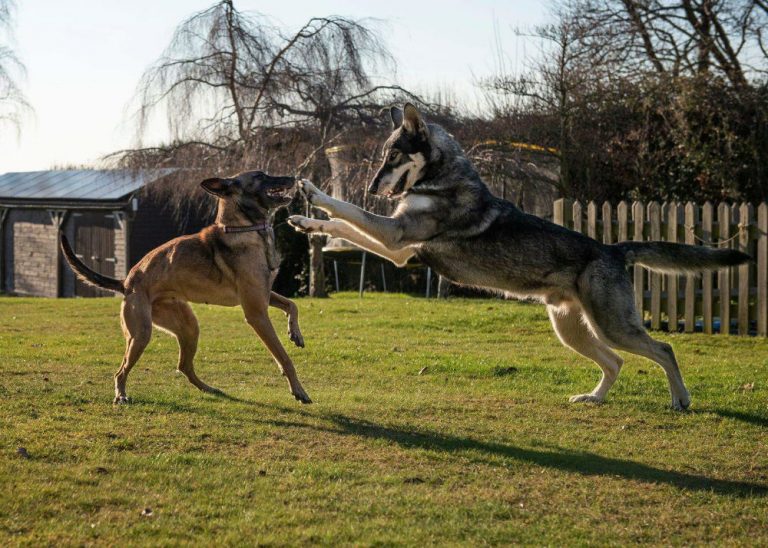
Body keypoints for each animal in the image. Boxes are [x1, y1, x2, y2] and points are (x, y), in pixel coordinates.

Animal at [60, 172, 312, 406]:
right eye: (260, 175)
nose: (293, 177)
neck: (243, 228)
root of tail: (126, 282)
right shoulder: (256, 312)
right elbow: (284, 357)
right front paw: (299, 390)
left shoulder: (263, 295)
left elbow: (292, 304)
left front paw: (295, 334)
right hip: (140, 335)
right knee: (121, 371)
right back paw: (121, 395)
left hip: (189, 326)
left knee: (183, 366)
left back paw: (209, 388)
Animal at [290, 105, 752, 408]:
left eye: (394, 156)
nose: (372, 187)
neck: (442, 179)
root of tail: (614, 248)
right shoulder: (397, 249)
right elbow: (342, 225)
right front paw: (305, 222)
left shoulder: (395, 236)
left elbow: (347, 211)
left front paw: (314, 194)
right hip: (574, 330)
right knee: (617, 362)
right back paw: (593, 398)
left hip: (612, 326)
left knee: (664, 350)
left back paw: (681, 399)